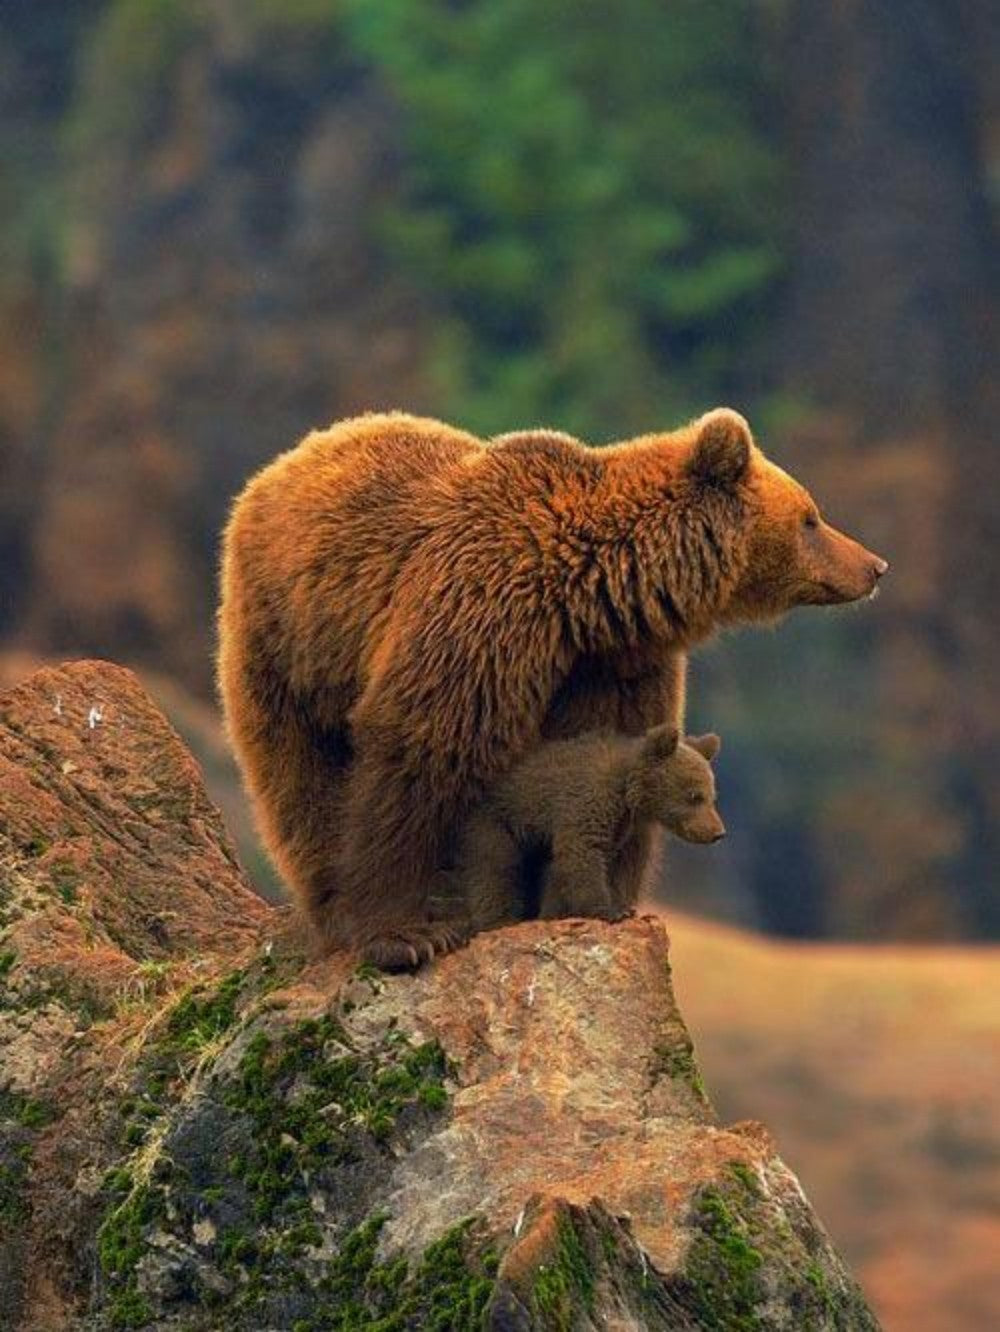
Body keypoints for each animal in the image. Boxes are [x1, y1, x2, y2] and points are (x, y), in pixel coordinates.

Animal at [430, 726, 724, 936]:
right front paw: (610, 911)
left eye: (712, 796)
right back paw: (498, 920)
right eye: (695, 796)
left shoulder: (616, 826)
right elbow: (583, 854)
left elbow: (568, 868)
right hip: (494, 821)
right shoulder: (587, 801)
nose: (718, 833)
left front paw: (555, 913)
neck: (626, 791)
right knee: (495, 866)